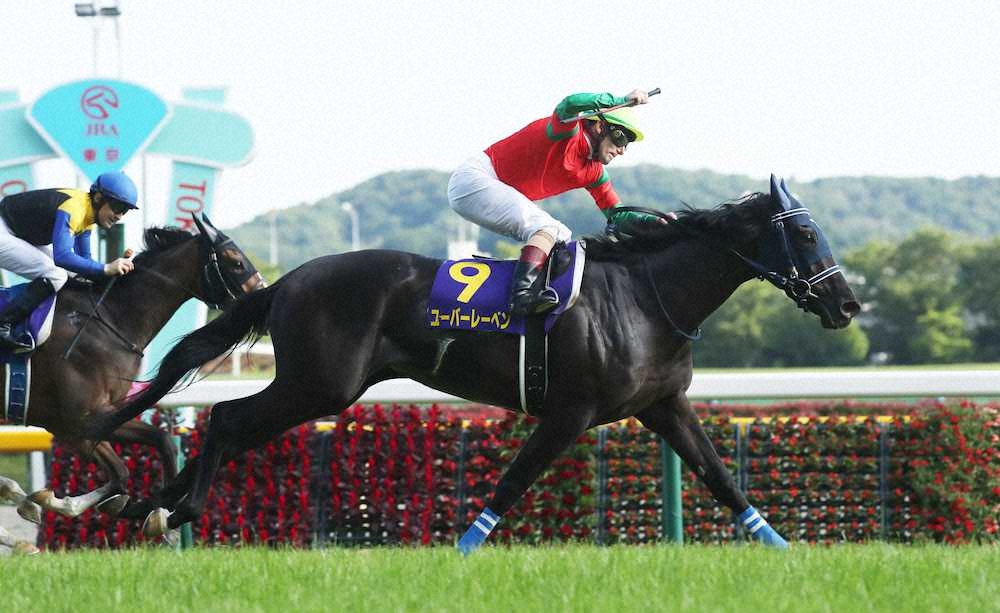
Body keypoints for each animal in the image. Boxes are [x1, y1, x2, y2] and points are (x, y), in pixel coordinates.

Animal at [0, 215, 263, 554]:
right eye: (235, 261)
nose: (265, 293)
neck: (109, 321)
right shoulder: (78, 423)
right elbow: (122, 471)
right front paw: (52, 502)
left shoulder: (103, 415)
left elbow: (159, 444)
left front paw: (162, 520)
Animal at [90, 175, 859, 550]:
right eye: (807, 234)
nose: (847, 303)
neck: (646, 296)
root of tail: (288, 280)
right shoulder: (570, 411)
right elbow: (513, 482)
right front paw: (462, 548)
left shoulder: (661, 405)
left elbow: (720, 477)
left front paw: (780, 546)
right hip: (321, 385)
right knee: (225, 419)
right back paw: (173, 508)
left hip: (320, 386)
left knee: (219, 429)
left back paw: (148, 505)